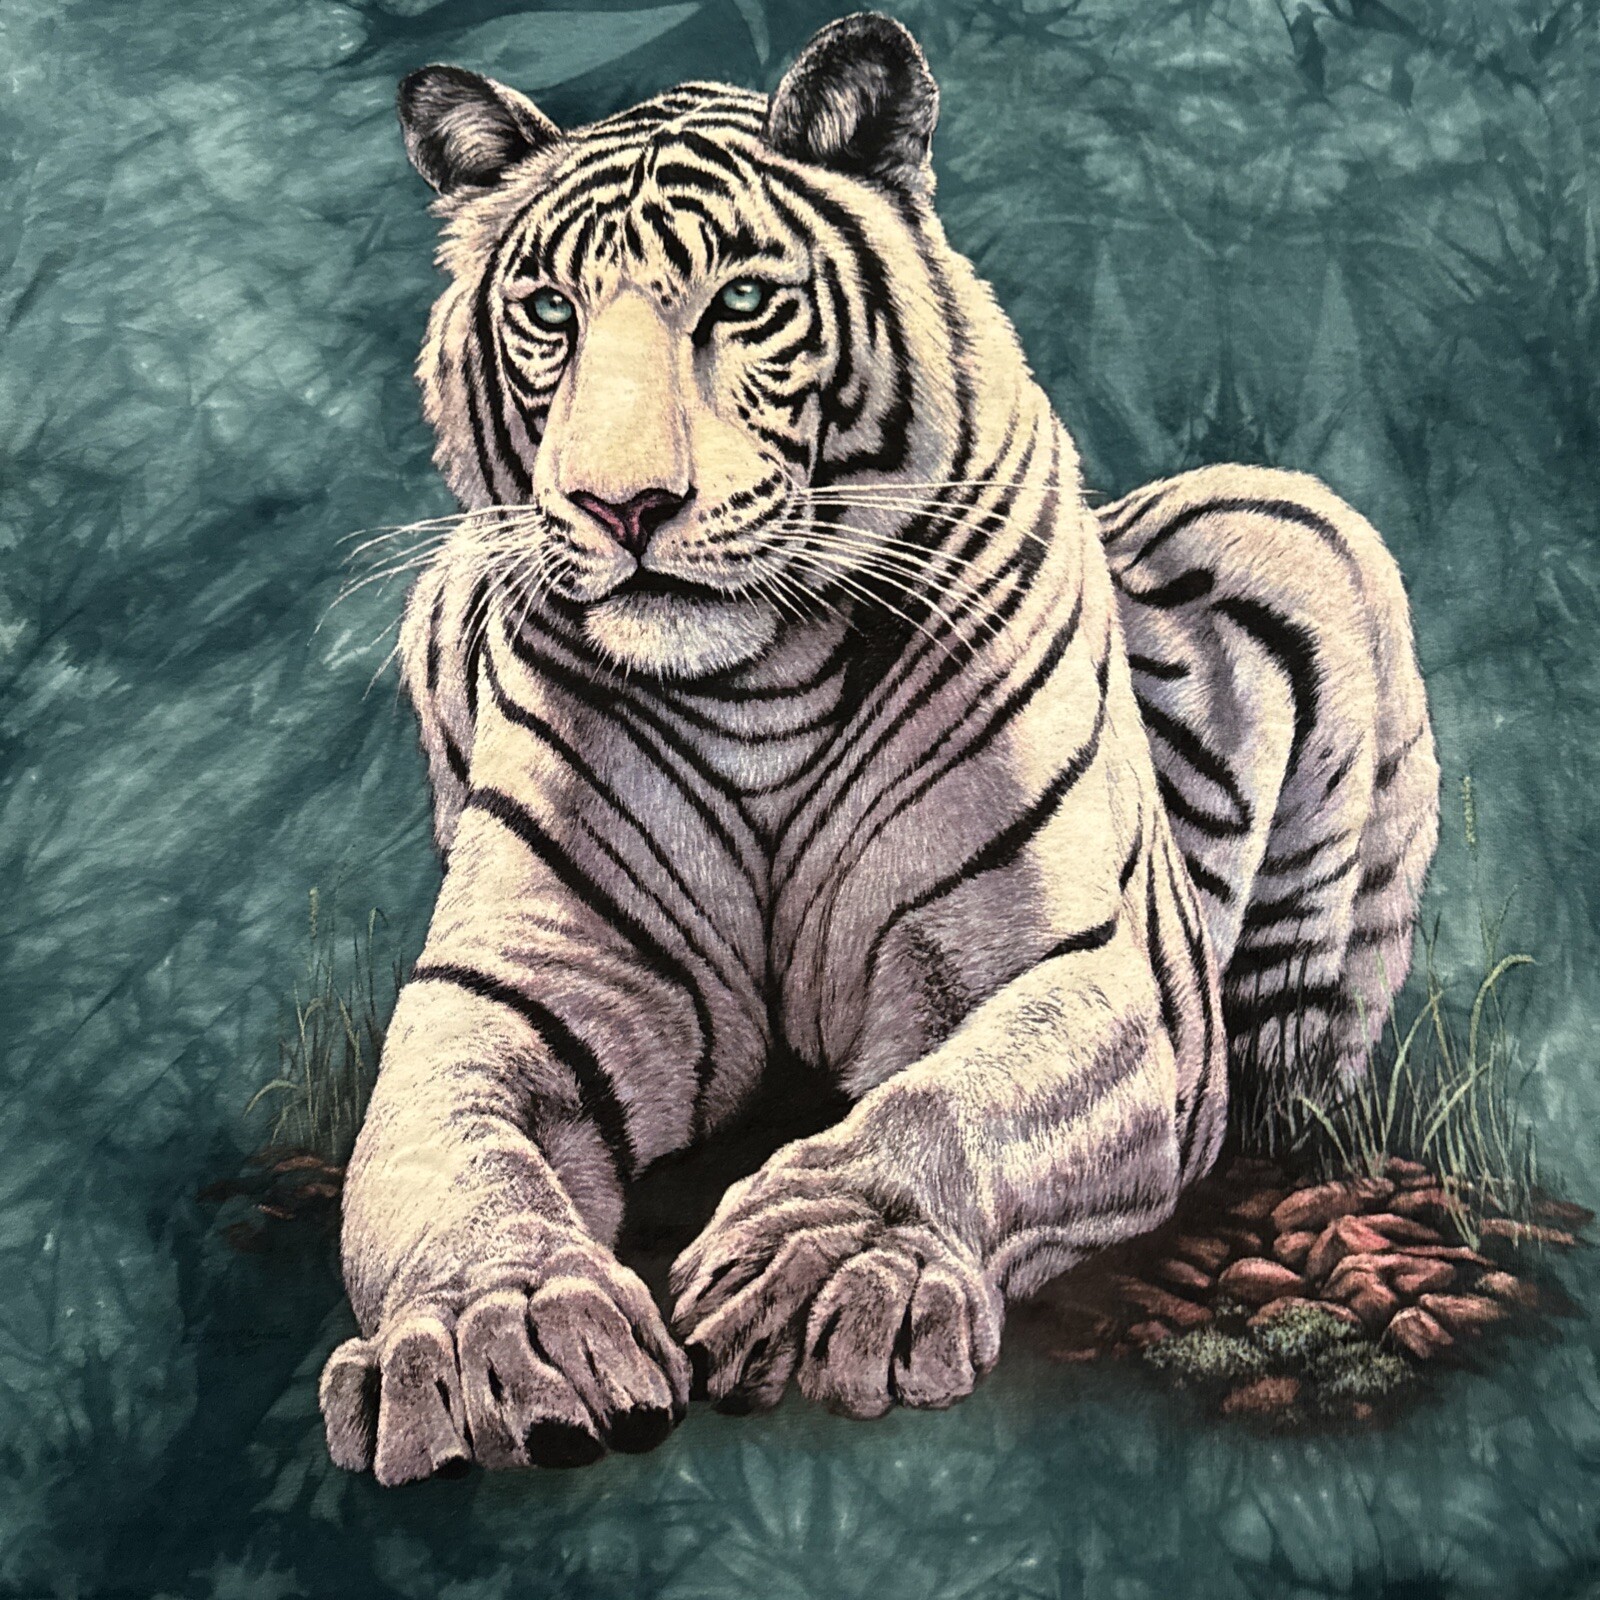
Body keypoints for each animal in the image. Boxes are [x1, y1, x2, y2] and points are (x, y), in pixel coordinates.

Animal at [319, 13, 1439, 1485]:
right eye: (551, 314)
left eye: (741, 301)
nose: (623, 506)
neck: (759, 693)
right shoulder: (507, 994)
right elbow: (450, 1161)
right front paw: (486, 1335)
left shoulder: (1079, 970)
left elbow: (948, 1106)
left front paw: (829, 1269)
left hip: (1295, 533)